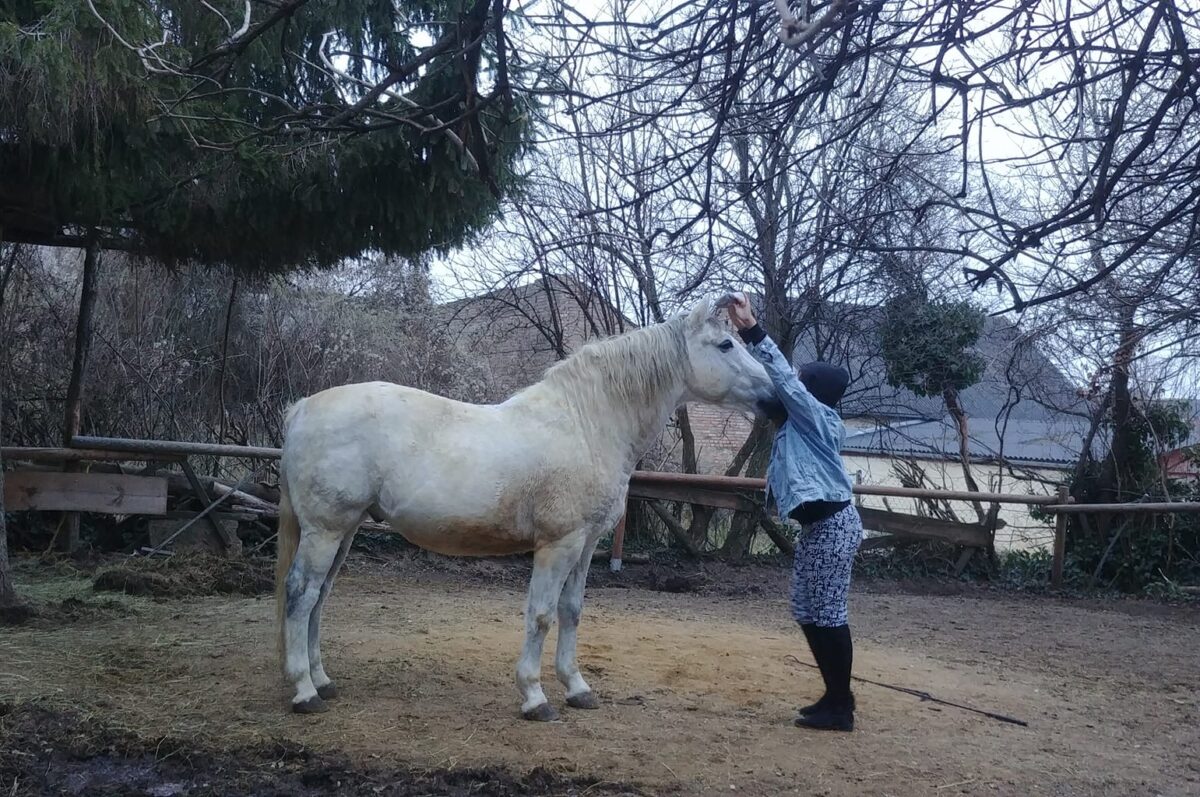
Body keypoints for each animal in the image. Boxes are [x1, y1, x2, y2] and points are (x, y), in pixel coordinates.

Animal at [274, 295, 777, 720]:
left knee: (321, 596)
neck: (586, 423)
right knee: (301, 594)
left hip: (346, 530)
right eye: (725, 344)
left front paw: (577, 688)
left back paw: (323, 681)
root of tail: (302, 408)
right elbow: (541, 613)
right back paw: (304, 691)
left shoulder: (586, 543)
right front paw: (535, 697)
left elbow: (572, 610)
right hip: (325, 529)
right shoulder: (559, 543)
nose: (774, 398)